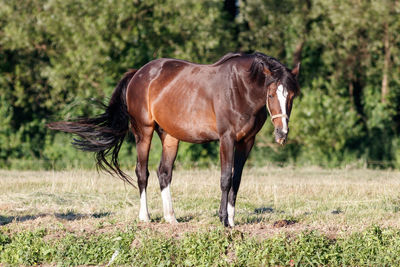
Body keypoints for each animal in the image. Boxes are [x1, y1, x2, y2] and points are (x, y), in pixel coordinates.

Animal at [47, 51, 300, 226]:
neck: (240, 88)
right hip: (144, 131)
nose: (282, 134)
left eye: (292, 96)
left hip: (170, 136)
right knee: (142, 172)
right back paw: (145, 216)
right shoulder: (226, 139)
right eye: (271, 94)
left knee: (164, 172)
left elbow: (236, 180)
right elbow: (226, 178)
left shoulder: (247, 142)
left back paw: (171, 217)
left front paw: (232, 219)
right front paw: (223, 220)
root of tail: (138, 73)